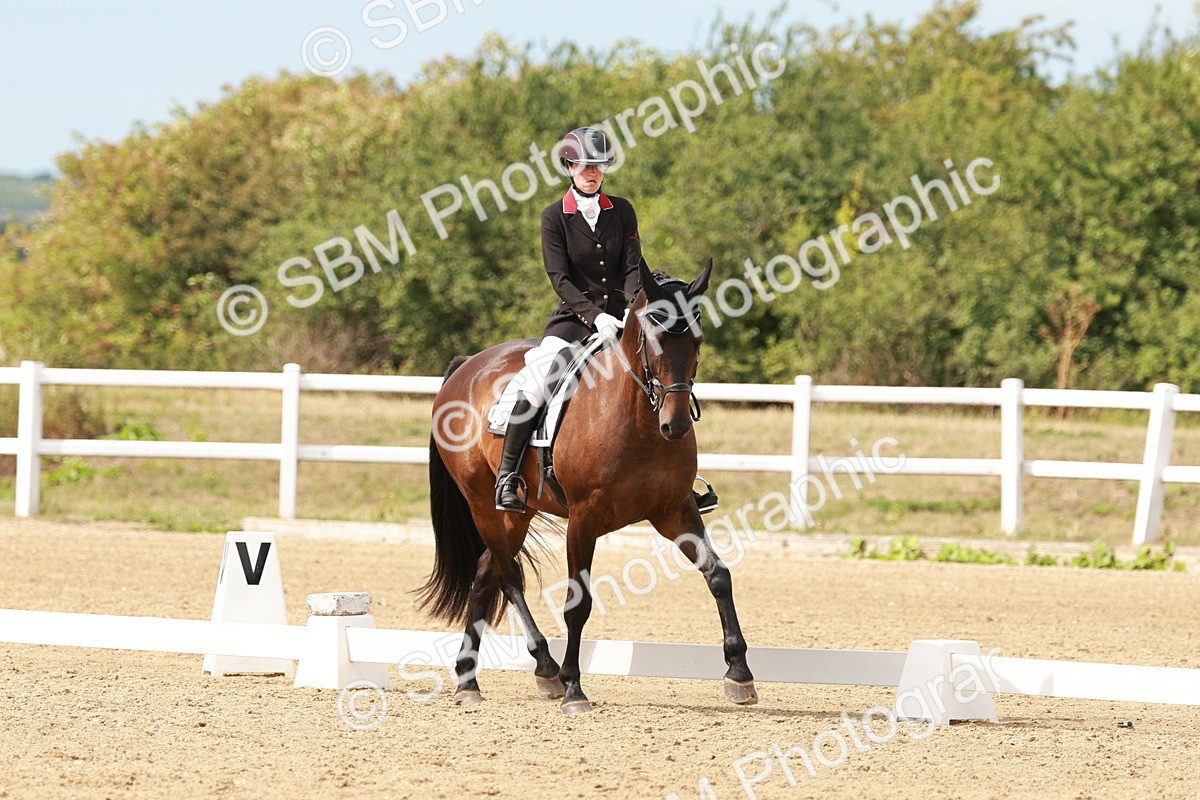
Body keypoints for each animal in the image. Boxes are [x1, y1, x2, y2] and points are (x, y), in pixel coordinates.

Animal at [417, 260, 757, 714]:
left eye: (697, 339)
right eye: (654, 336)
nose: (677, 425)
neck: (638, 420)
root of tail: (467, 365)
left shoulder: (675, 511)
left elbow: (718, 574)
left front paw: (739, 673)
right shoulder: (584, 520)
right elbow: (578, 604)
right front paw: (574, 688)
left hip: (520, 511)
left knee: (487, 573)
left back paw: (470, 679)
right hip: (481, 503)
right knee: (508, 575)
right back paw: (544, 667)